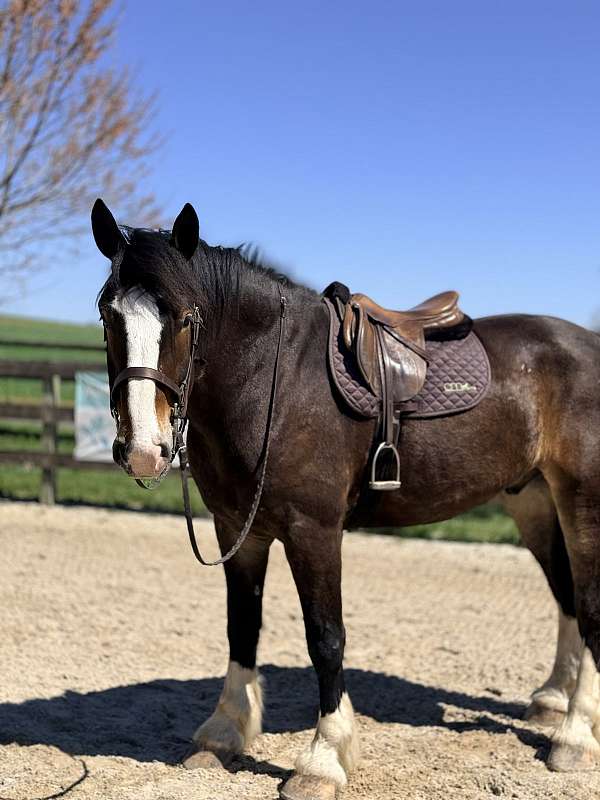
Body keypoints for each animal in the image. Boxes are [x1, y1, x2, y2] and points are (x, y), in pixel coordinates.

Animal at [92, 197, 600, 799]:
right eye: (107, 316)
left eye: (187, 318)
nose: (144, 449)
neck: (277, 378)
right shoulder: (237, 529)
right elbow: (242, 626)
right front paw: (225, 732)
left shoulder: (313, 531)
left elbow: (326, 638)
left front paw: (323, 759)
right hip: (534, 501)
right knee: (566, 597)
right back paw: (553, 701)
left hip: (582, 500)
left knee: (589, 606)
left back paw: (574, 734)